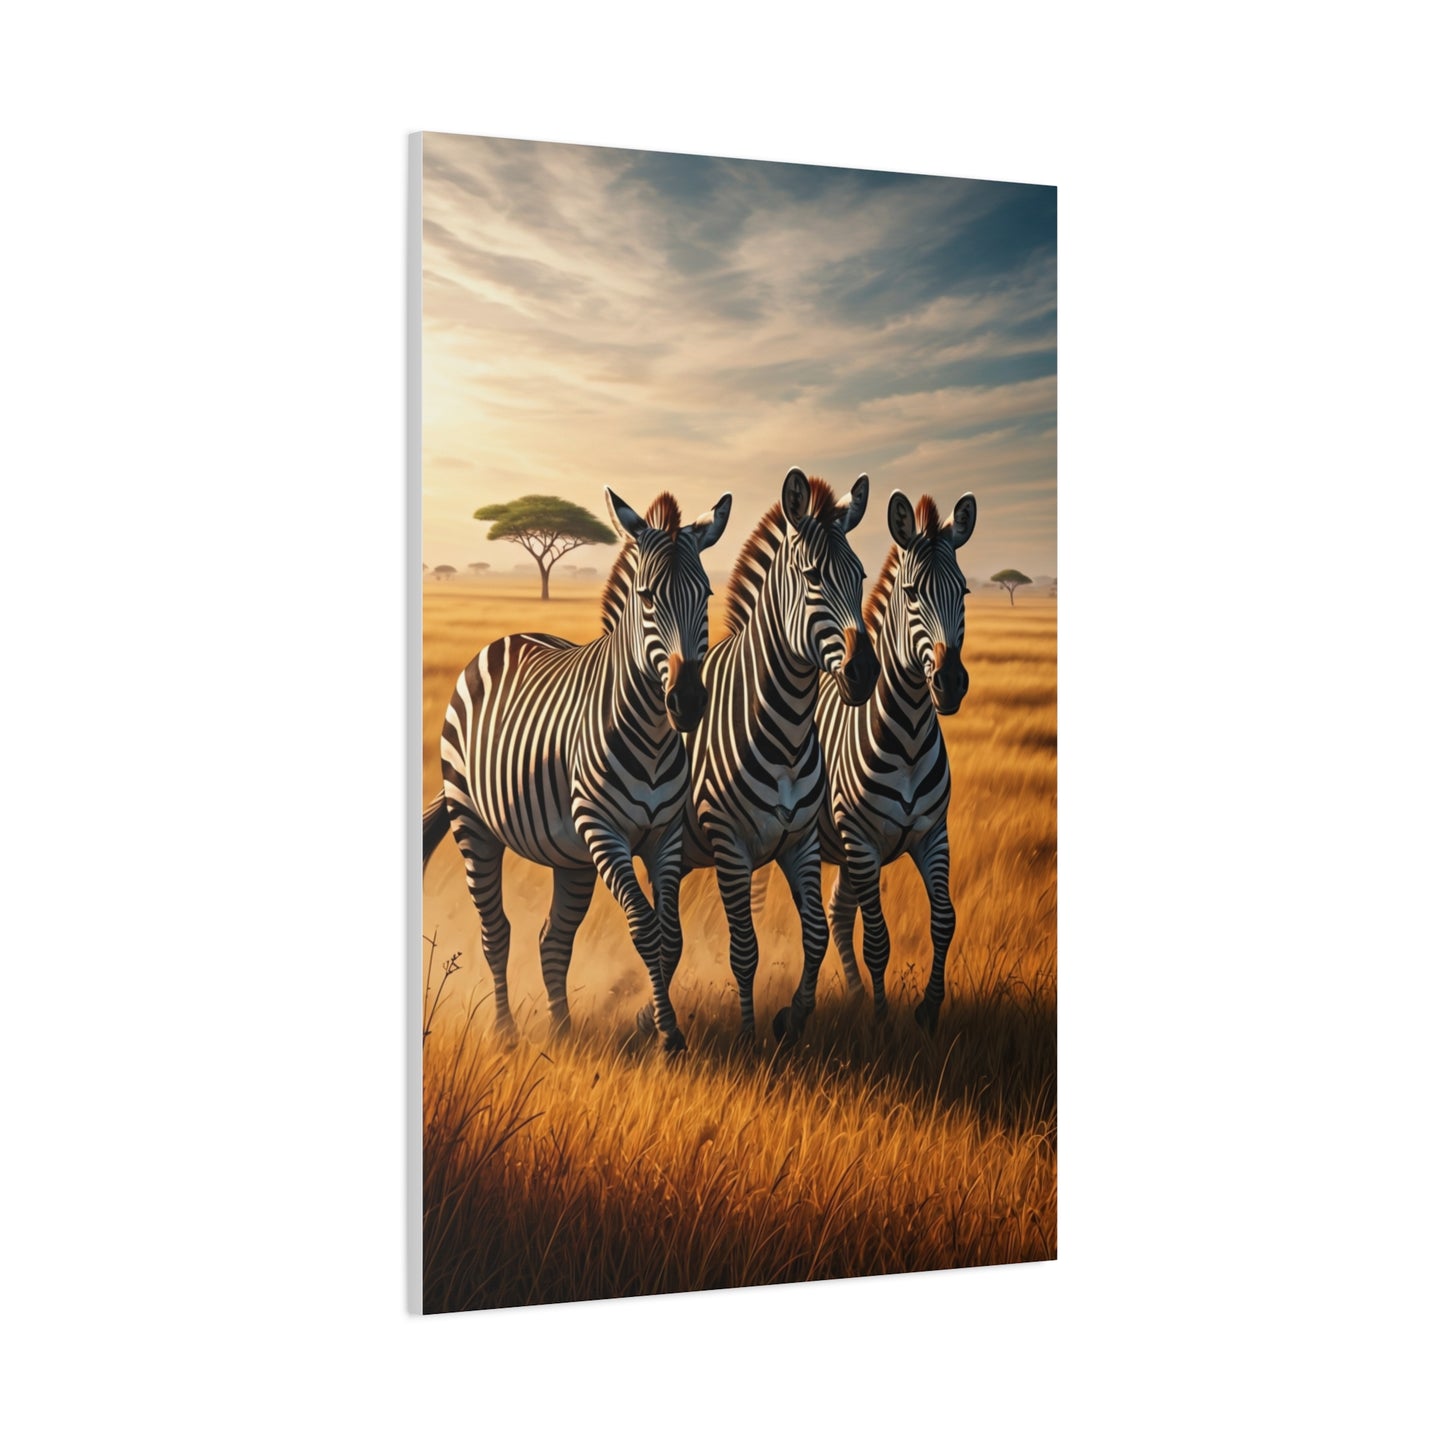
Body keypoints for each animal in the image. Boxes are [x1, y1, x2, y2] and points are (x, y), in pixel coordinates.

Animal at [421, 487, 731, 1053]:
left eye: (707, 595)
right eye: (647, 597)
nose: (689, 702)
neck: (654, 735)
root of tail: (508, 638)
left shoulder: (665, 833)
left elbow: (671, 934)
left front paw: (662, 1026)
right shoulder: (603, 829)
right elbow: (645, 928)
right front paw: (667, 1034)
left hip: (570, 857)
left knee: (553, 938)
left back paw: (562, 1032)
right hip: (474, 824)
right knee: (496, 932)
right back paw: (506, 1034)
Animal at [644, 467, 879, 1045]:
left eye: (861, 576)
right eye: (812, 577)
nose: (865, 673)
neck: (787, 730)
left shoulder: (800, 841)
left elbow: (815, 935)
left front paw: (791, 1020)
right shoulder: (731, 847)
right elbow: (745, 950)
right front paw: (751, 1039)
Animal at [814, 489, 977, 1032]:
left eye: (964, 592)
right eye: (912, 594)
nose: (950, 683)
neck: (905, 738)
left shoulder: (932, 834)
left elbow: (944, 919)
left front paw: (927, 1010)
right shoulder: (862, 841)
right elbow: (878, 939)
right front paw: (884, 1022)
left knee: (836, 912)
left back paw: (854, 995)